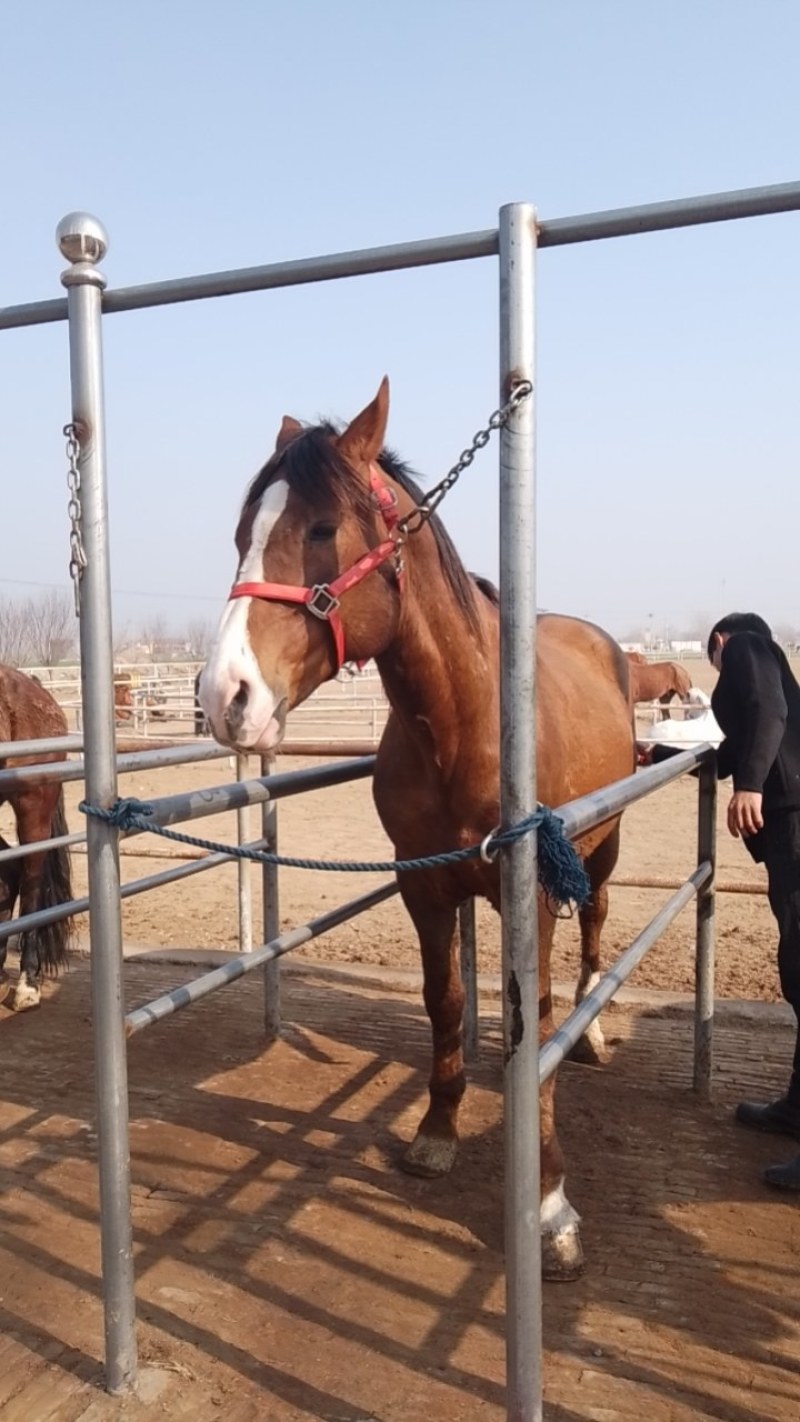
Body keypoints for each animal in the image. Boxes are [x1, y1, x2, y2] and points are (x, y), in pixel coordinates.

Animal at [198, 379, 635, 1280]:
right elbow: (445, 1001)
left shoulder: (533, 896)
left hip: (602, 852)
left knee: (596, 932)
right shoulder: (425, 884)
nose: (225, 697)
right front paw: (437, 1132)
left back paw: (595, 1030)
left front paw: (549, 1204)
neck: (464, 723)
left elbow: (536, 1021)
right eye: (242, 533)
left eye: (322, 528)